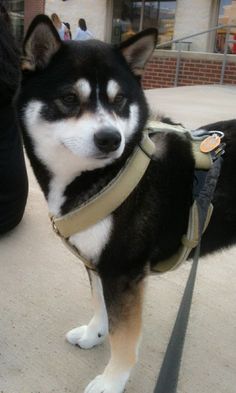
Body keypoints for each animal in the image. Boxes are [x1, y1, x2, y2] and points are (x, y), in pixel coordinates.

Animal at [16, 14, 236, 392]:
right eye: (69, 98)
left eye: (119, 101)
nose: (110, 138)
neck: (104, 175)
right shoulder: (98, 263)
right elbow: (100, 306)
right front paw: (94, 334)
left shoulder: (124, 271)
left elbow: (124, 336)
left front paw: (112, 380)